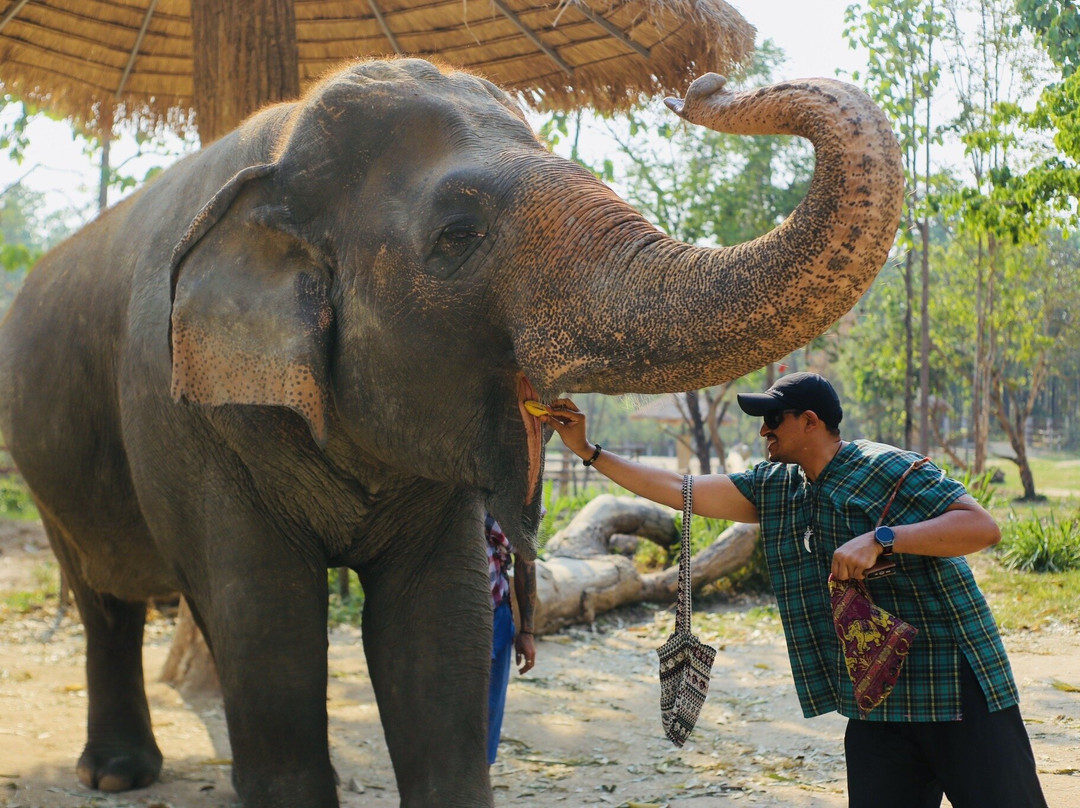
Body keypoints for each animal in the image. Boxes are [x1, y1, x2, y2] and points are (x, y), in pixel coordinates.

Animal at [0, 59, 902, 807]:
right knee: (101, 599)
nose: (703, 85)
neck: (281, 146)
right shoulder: (191, 418)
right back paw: (116, 775)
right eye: (458, 237)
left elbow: (440, 631)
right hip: (43, 463)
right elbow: (267, 618)